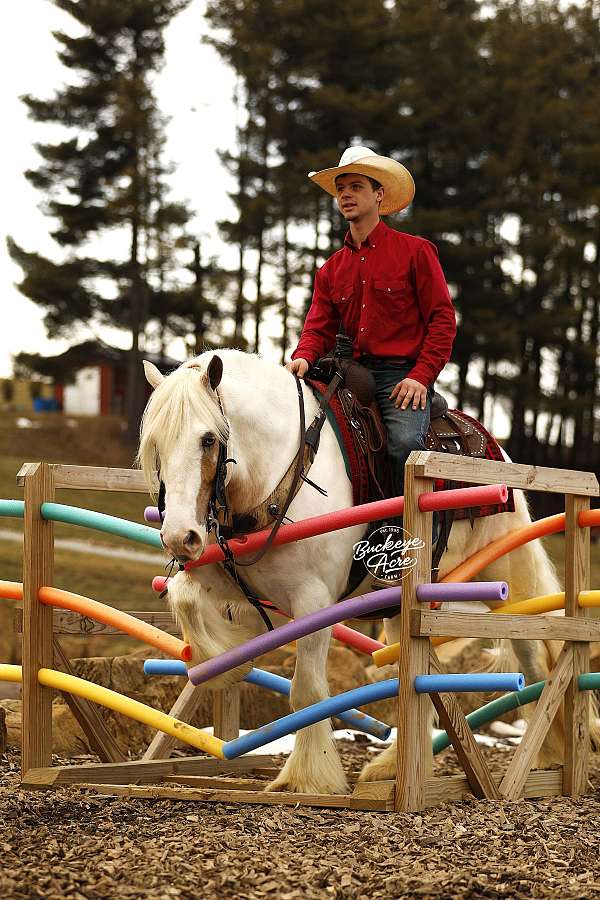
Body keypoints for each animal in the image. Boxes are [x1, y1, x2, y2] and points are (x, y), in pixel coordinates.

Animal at [137, 348, 569, 795]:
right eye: (155, 444)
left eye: (208, 439)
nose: (178, 537)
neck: (279, 469)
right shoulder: (226, 577)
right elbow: (184, 597)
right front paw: (227, 659)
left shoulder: (313, 601)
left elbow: (307, 692)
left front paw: (307, 776)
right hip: (401, 609)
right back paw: (391, 766)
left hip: (508, 577)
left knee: (534, 656)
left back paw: (547, 754)